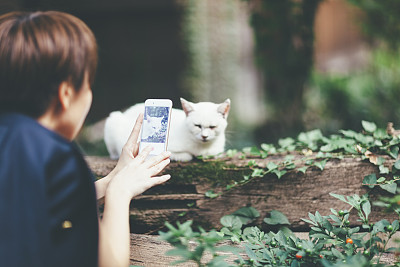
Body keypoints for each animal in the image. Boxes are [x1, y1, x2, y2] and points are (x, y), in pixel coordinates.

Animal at [103, 98, 231, 161]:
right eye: (197, 125)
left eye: (212, 127)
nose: (204, 136)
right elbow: (184, 156)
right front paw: (188, 156)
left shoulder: (216, 151)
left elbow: (213, 154)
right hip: (113, 120)